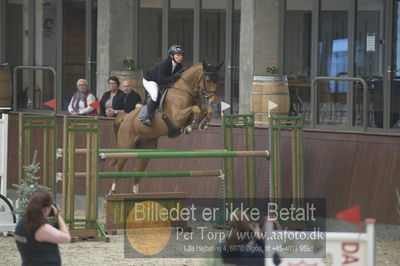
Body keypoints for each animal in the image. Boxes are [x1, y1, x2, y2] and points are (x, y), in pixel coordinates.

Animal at [109, 61, 222, 193]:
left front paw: (203, 123)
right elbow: (196, 109)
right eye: (208, 80)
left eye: (218, 79)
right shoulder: (177, 117)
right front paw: (191, 126)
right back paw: (112, 191)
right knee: (118, 167)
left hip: (146, 149)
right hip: (126, 146)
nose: (214, 101)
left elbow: (205, 110)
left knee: (137, 170)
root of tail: (126, 117)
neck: (185, 90)